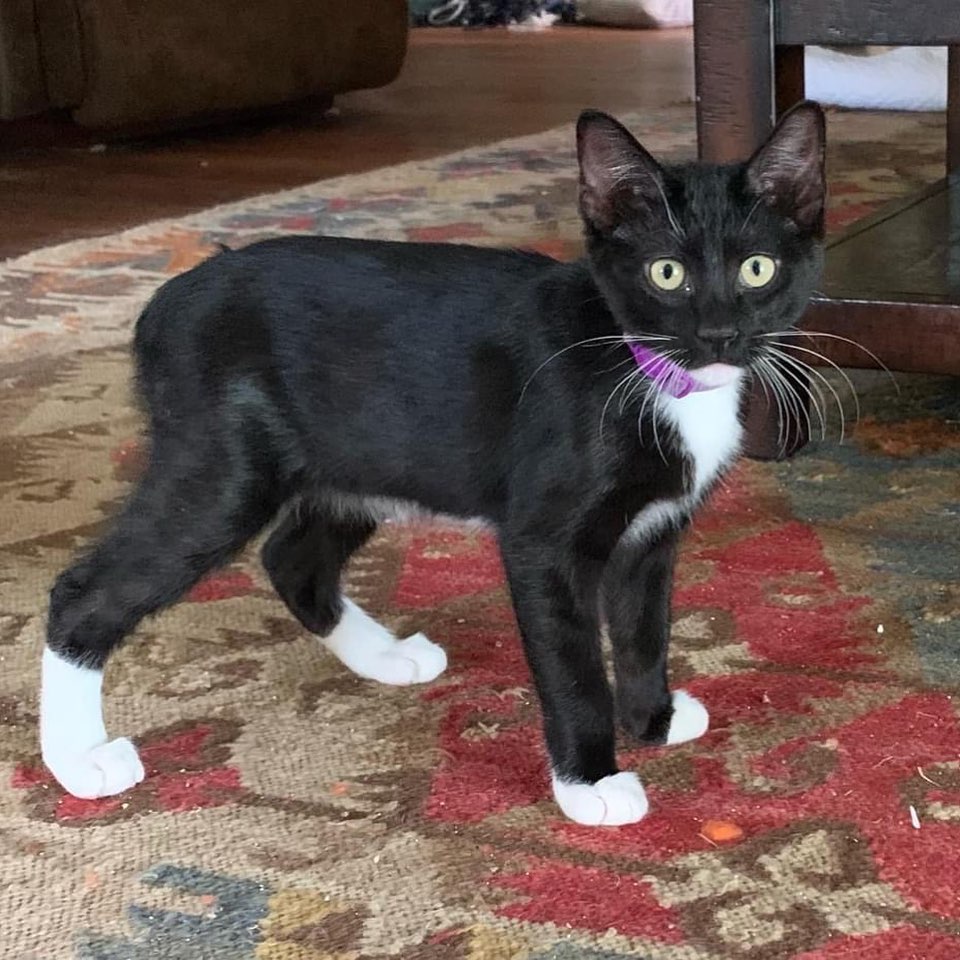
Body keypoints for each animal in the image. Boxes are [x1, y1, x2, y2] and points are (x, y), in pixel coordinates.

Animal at [41, 103, 824, 824]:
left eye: (758, 269)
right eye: (667, 273)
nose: (719, 334)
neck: (645, 368)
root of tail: (165, 299)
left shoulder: (653, 534)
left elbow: (642, 629)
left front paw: (652, 720)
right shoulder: (544, 542)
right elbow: (574, 664)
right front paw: (591, 781)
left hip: (359, 459)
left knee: (293, 558)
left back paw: (386, 657)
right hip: (225, 470)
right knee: (86, 591)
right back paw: (78, 759)